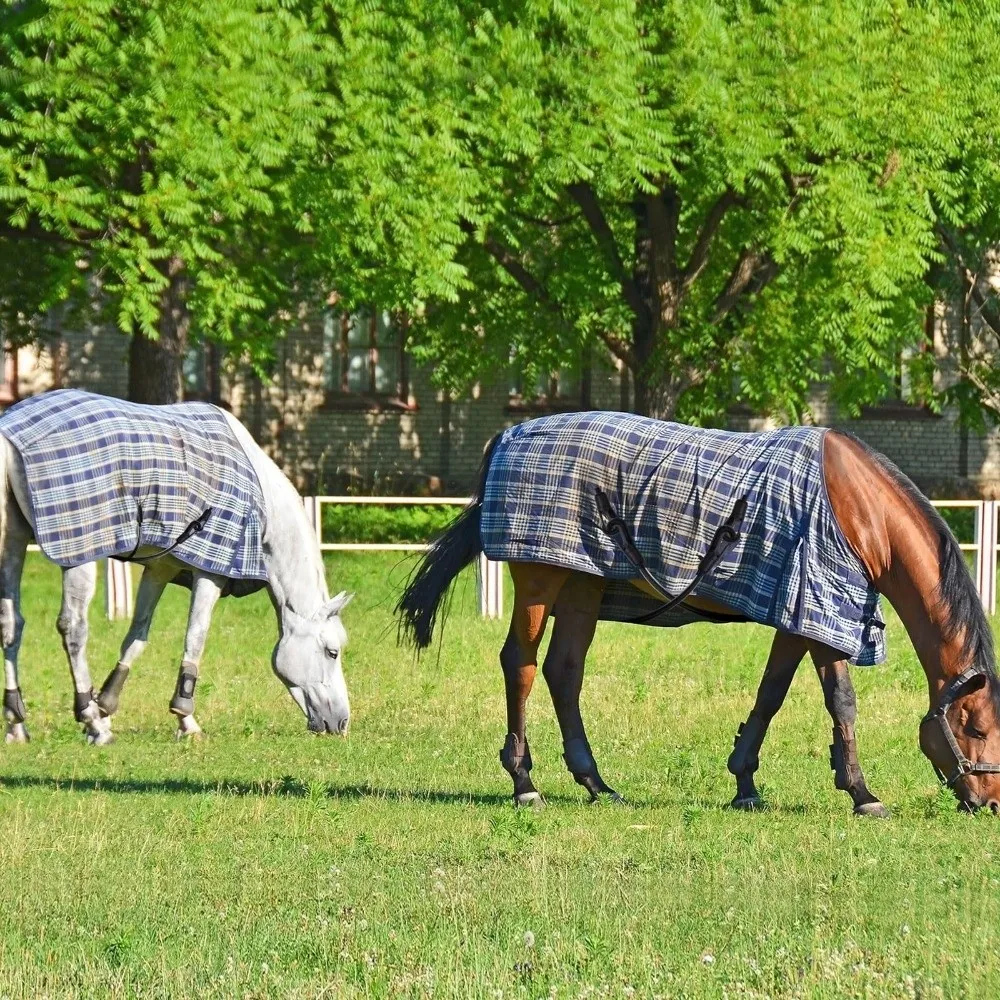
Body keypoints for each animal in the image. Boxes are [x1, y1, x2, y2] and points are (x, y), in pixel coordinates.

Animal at [0, 389, 352, 745]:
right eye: (332, 652)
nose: (341, 722)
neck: (261, 498)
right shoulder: (212, 572)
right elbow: (195, 636)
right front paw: (185, 718)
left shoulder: (159, 569)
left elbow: (136, 636)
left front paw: (107, 706)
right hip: (77, 555)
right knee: (73, 627)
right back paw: (91, 721)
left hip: (12, 542)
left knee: (11, 625)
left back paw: (17, 722)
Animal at [396, 410, 1000, 815]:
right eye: (975, 726)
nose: (989, 801)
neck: (859, 508)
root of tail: (508, 437)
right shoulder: (820, 609)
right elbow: (841, 701)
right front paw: (861, 792)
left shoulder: (796, 614)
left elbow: (771, 693)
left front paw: (745, 784)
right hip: (540, 581)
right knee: (519, 665)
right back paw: (525, 784)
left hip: (584, 584)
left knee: (564, 672)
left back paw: (597, 784)